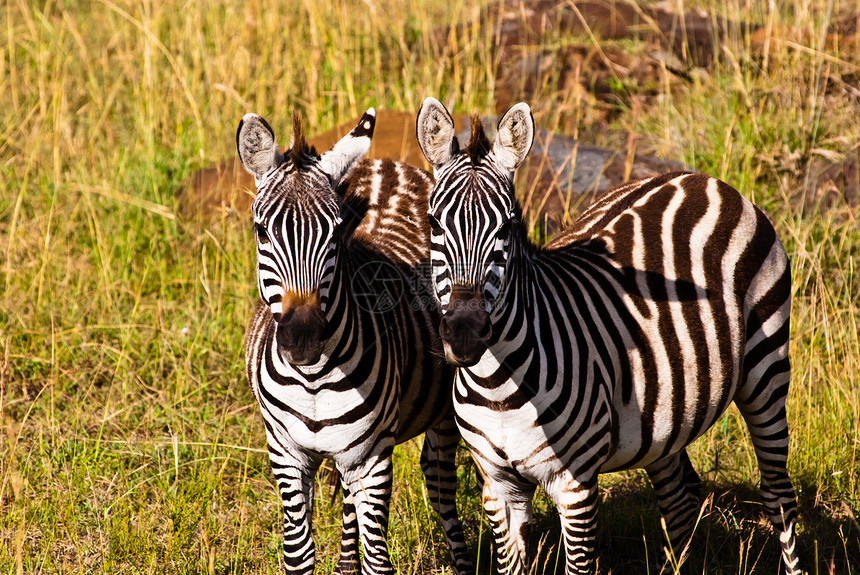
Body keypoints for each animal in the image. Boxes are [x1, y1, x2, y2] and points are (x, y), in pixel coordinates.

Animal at [239, 109, 474, 575]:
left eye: (335, 232)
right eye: (261, 232)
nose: (303, 338)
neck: (312, 379)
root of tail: (389, 163)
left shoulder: (373, 458)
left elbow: (379, 561)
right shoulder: (286, 454)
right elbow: (298, 555)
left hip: (439, 415)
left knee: (439, 483)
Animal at [416, 99, 808, 575]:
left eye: (508, 227)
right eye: (434, 223)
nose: (465, 335)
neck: (498, 388)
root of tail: (703, 179)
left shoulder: (576, 487)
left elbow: (578, 563)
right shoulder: (497, 485)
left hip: (766, 367)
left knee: (778, 494)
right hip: (667, 411)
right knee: (680, 495)